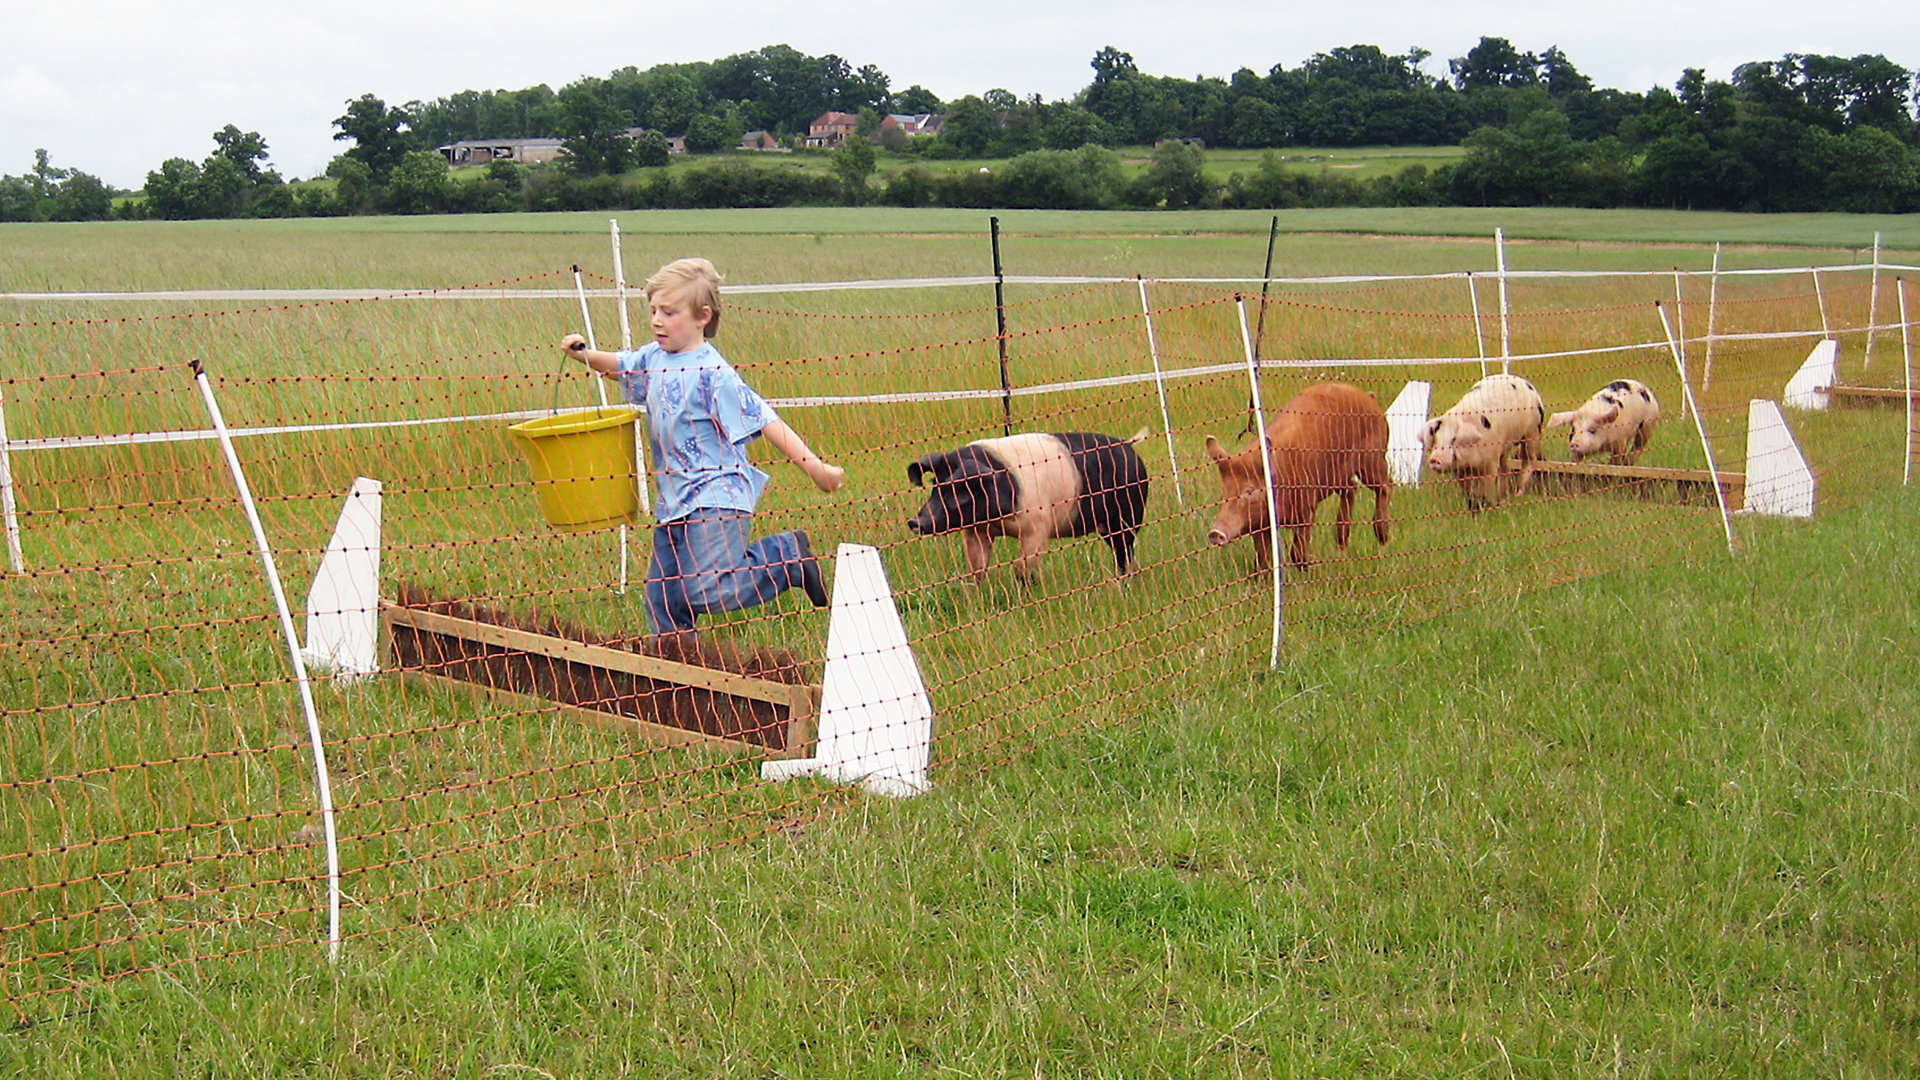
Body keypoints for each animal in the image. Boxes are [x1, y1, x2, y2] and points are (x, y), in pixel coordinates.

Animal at [907, 428, 1149, 583]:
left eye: (958, 490)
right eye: (935, 485)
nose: (915, 522)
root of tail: (1129, 445)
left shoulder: (1037, 526)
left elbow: (1022, 569)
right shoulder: (976, 531)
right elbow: (976, 569)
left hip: (1128, 513)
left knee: (1124, 551)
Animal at [1203, 382, 1391, 569]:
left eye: (1249, 491)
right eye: (1224, 493)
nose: (1215, 532)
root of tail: (1370, 398)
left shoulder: (1307, 506)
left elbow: (1297, 552)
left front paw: (1315, 564)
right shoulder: (1259, 524)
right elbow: (1262, 561)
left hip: (1372, 458)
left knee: (1386, 485)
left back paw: (1382, 538)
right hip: (1337, 476)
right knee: (1352, 488)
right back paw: (1340, 547)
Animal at [1421, 373, 1546, 511]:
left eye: (1453, 439)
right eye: (1436, 438)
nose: (1435, 459)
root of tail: (1524, 382)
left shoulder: (1490, 462)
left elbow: (1485, 487)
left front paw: (1484, 506)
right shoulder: (1460, 470)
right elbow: (1468, 490)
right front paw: (1472, 506)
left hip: (1533, 431)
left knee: (1529, 459)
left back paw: (1517, 493)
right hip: (1504, 446)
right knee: (1505, 467)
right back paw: (1502, 499)